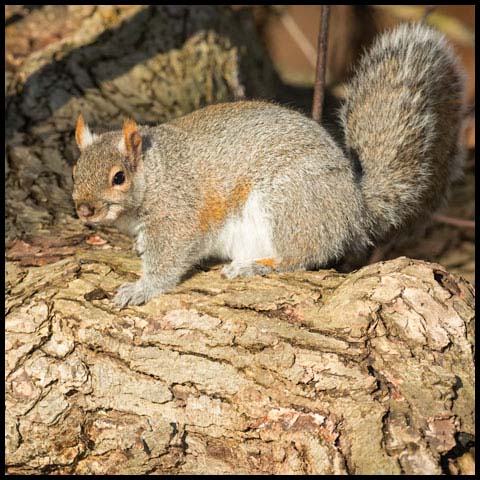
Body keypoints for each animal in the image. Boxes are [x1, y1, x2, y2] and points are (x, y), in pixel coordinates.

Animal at [71, 22, 464, 306]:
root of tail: (354, 208)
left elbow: (168, 258)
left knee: (304, 254)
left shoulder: (177, 215)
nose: (84, 210)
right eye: (74, 172)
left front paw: (142, 288)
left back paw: (255, 268)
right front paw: (137, 249)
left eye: (118, 177)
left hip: (287, 203)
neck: (155, 173)